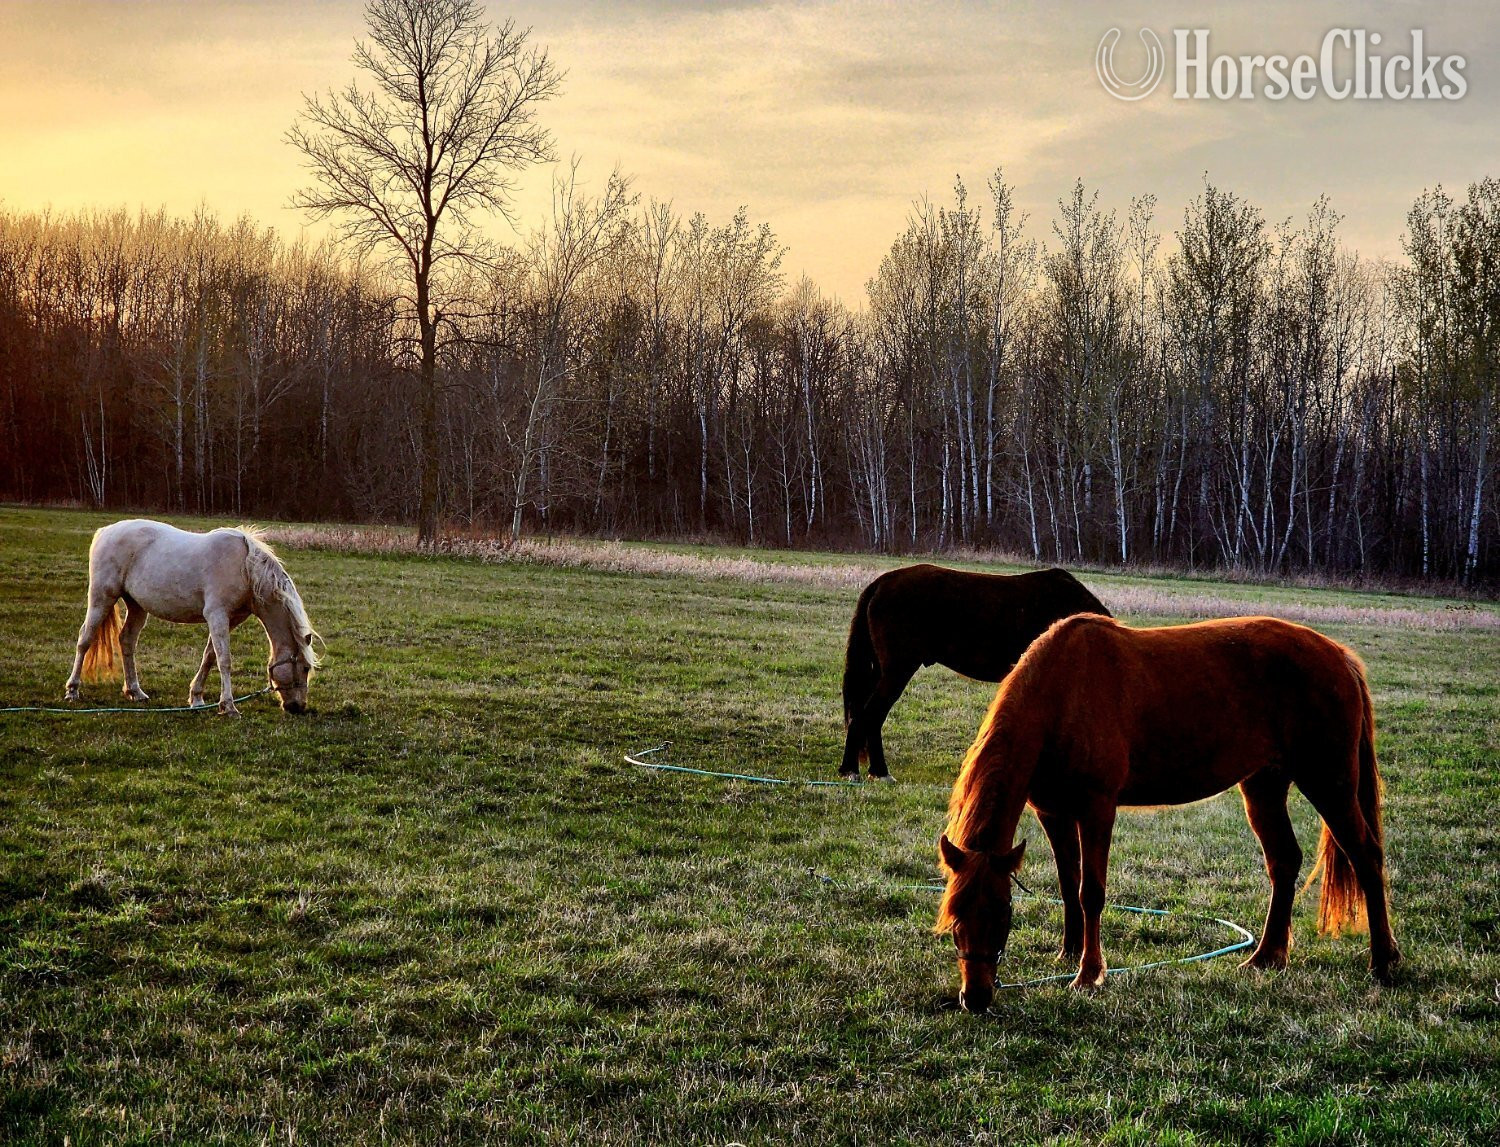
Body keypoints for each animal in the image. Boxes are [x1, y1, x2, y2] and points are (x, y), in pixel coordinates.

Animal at [64, 519, 321, 715]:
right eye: (305, 668)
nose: (298, 707)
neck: (246, 569)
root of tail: (104, 531)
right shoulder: (217, 615)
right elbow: (224, 660)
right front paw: (228, 707)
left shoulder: (231, 619)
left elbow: (210, 656)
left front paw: (196, 698)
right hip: (102, 597)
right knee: (85, 639)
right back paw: (72, 690)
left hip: (136, 606)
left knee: (126, 641)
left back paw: (135, 692)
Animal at [934, 614, 1399, 1013]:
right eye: (955, 919)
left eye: (1001, 913)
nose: (975, 998)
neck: (1062, 694)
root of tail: (1338, 655)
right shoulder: (1054, 813)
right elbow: (1068, 885)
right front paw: (1068, 953)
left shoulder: (1097, 808)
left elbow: (1090, 892)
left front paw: (1088, 974)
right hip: (1264, 786)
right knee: (1284, 861)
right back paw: (1266, 957)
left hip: (1329, 783)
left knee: (1365, 856)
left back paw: (1382, 961)